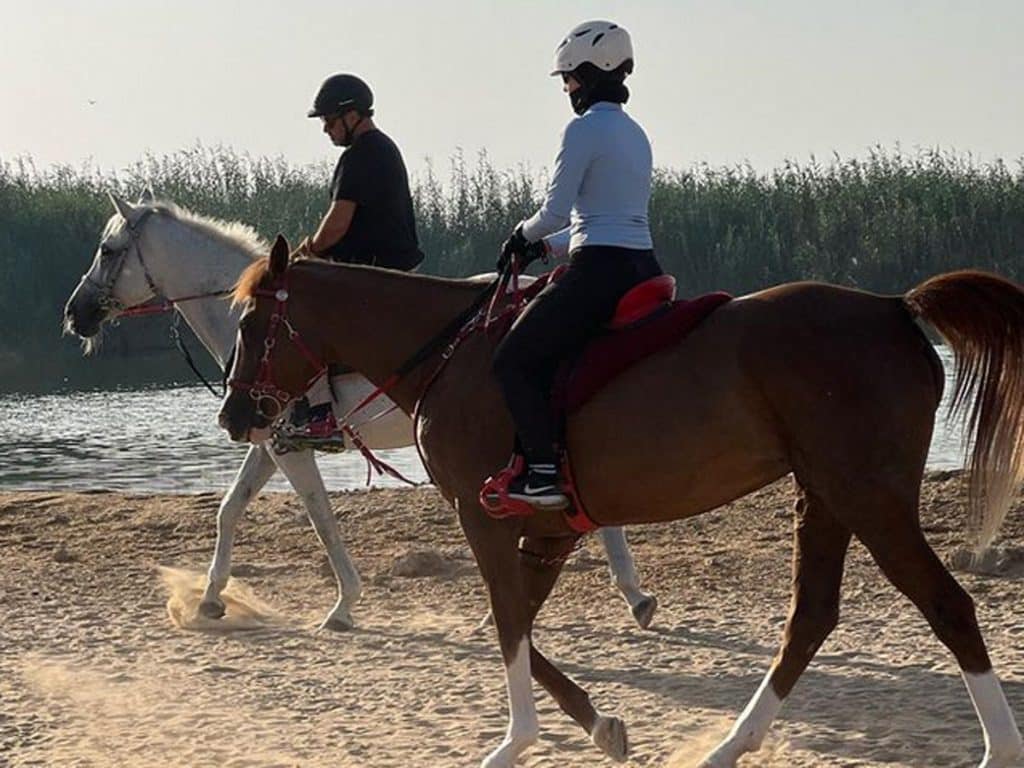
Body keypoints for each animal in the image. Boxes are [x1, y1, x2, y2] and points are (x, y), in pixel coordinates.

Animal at [63, 192, 658, 631]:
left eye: (108, 250)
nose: (75, 313)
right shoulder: (268, 443)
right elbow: (230, 509)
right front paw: (211, 598)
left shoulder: (287, 445)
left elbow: (320, 516)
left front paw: (344, 605)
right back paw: (633, 595)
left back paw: (631, 595)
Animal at [219, 234, 1024, 768]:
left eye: (252, 325)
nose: (233, 415)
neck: (452, 356)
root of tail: (892, 307)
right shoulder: (547, 530)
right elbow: (515, 623)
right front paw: (599, 725)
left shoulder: (483, 517)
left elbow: (507, 624)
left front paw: (515, 741)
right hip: (825, 496)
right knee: (811, 619)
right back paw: (730, 746)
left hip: (868, 497)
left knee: (947, 605)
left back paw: (997, 747)